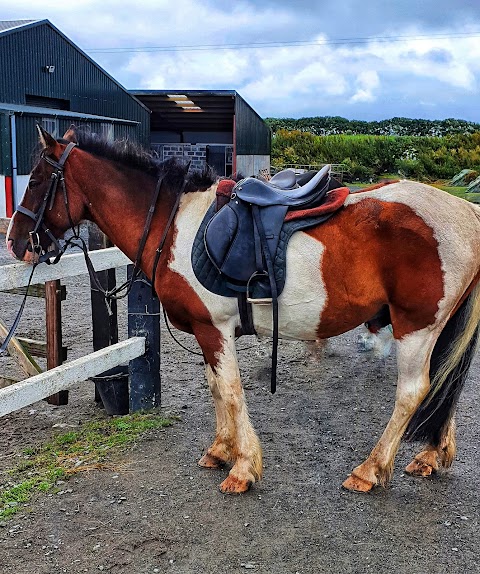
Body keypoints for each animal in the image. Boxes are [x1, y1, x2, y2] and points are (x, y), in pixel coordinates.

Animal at [5, 129, 480, 496]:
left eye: (38, 179)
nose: (15, 241)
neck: (174, 224)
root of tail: (466, 212)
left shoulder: (214, 328)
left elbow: (231, 390)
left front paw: (243, 467)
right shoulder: (206, 332)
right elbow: (216, 387)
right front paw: (220, 450)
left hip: (415, 328)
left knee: (412, 392)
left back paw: (370, 470)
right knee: (444, 382)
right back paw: (431, 456)